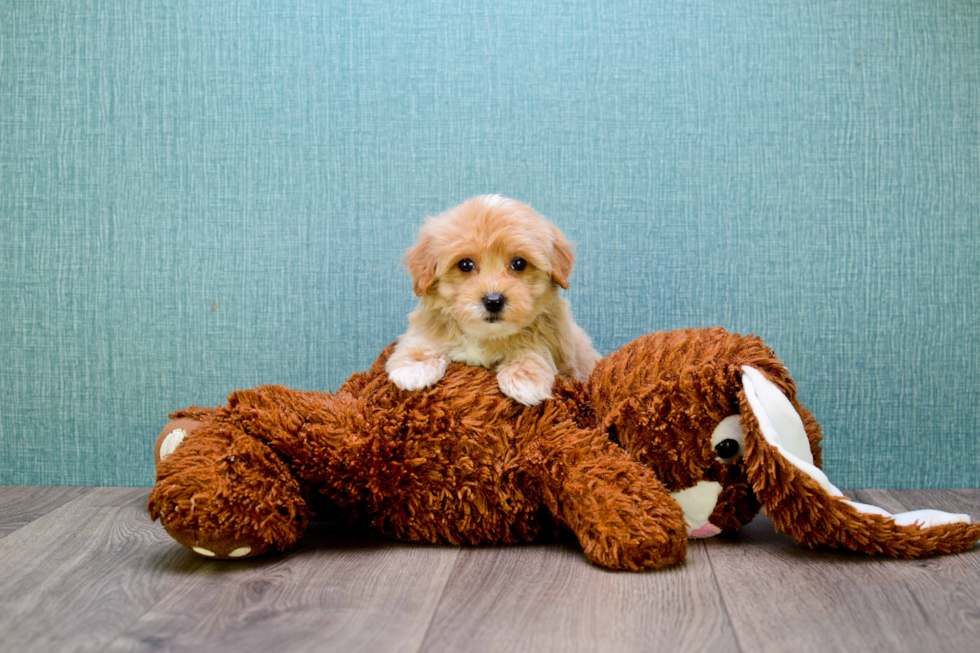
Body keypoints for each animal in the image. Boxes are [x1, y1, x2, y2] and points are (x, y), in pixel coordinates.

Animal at [386, 194, 600, 404]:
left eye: (519, 263)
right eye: (465, 264)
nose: (493, 301)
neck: (486, 336)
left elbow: (534, 348)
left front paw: (525, 379)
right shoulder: (427, 324)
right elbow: (420, 340)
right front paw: (414, 367)